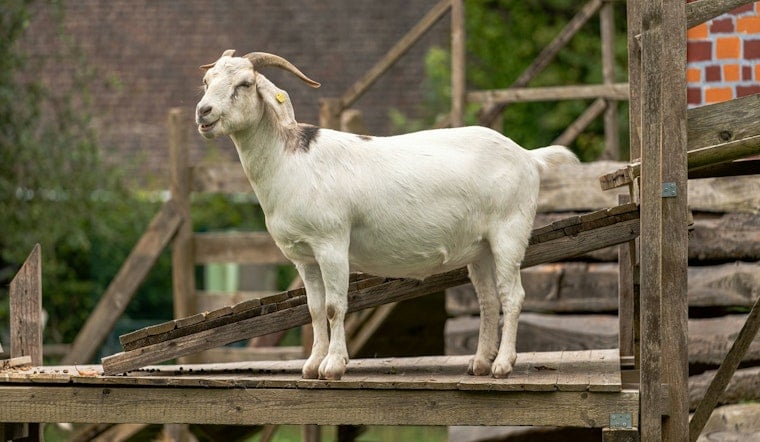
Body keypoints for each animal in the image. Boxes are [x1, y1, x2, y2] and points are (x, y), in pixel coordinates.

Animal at [195, 50, 579, 380]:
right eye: (207, 81)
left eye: (245, 83)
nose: (203, 112)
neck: (290, 162)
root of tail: (529, 157)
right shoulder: (303, 257)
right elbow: (314, 309)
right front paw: (312, 364)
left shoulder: (331, 243)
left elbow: (334, 306)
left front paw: (333, 366)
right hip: (481, 247)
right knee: (488, 299)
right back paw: (480, 362)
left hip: (509, 233)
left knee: (513, 296)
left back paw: (502, 365)